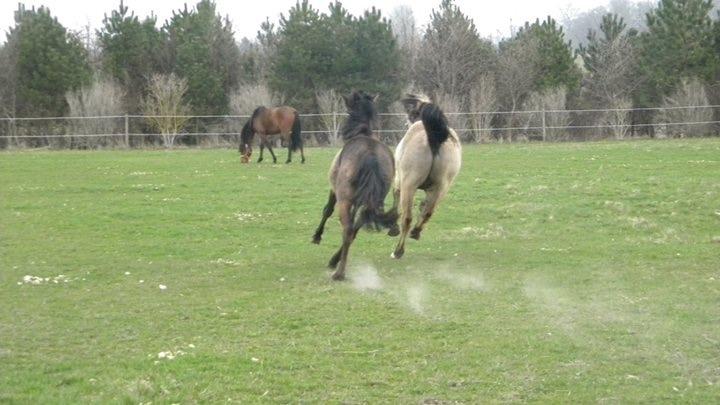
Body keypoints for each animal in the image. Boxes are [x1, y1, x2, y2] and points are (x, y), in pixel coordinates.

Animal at [310, 91, 400, 280]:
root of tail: (371, 156)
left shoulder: (334, 191)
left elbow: (327, 211)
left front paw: (317, 236)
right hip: (369, 203)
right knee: (354, 230)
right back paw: (335, 261)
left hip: (345, 201)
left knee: (347, 230)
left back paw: (339, 272)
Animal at [388, 94, 462, 258]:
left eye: (412, 113)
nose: (406, 121)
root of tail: (434, 137)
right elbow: (424, 207)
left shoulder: (399, 181)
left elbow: (395, 198)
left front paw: (392, 228)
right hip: (441, 187)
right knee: (428, 212)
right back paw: (415, 232)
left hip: (409, 186)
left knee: (407, 218)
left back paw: (398, 251)